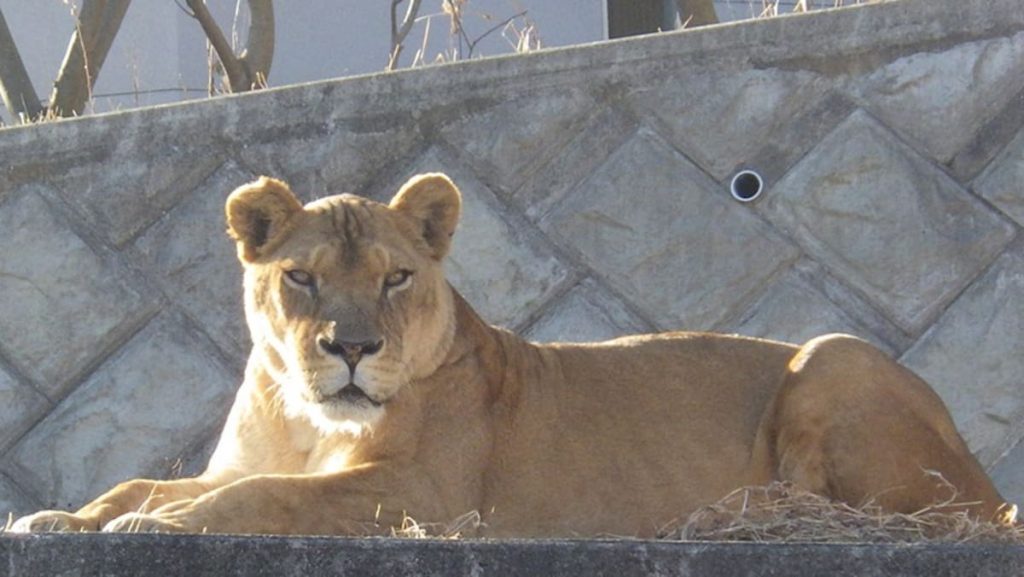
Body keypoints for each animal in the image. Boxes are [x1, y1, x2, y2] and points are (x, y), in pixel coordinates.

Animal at [11, 173, 1015, 537]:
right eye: (299, 277)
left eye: (396, 277)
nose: (351, 348)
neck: (306, 417)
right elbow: (146, 481)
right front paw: (62, 517)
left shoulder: (424, 495)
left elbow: (264, 497)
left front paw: (153, 528)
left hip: (833, 354)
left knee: (911, 514)